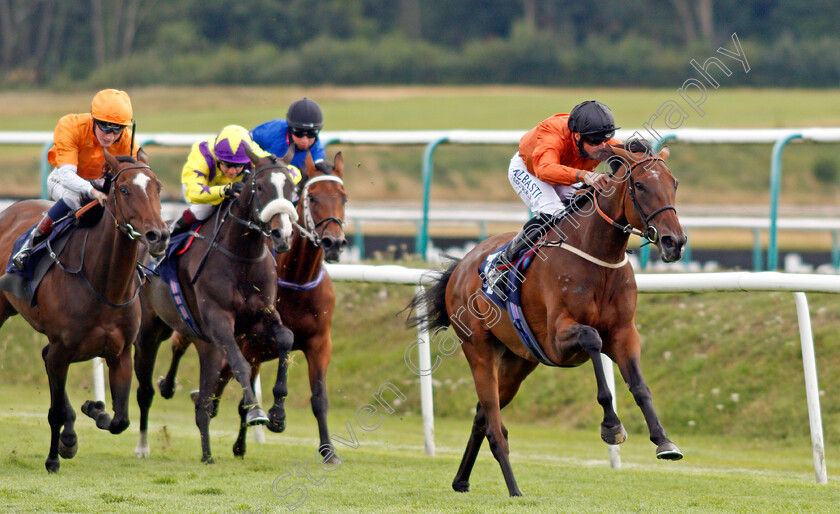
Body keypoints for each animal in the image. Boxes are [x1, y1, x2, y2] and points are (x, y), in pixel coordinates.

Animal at [0, 150, 168, 470]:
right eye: (124, 189)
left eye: (158, 187)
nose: (159, 235)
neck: (104, 284)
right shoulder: (62, 349)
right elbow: (54, 410)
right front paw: (53, 458)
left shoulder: (120, 353)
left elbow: (120, 420)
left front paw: (94, 409)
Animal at [132, 146, 298, 462]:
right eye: (260, 187)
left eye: (292, 189)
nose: (282, 234)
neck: (242, 256)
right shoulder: (219, 321)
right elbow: (240, 364)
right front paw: (256, 412)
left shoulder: (259, 318)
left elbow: (285, 338)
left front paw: (279, 413)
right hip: (149, 329)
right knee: (145, 390)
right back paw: (143, 445)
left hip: (195, 336)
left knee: (197, 390)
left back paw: (205, 451)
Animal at [159, 150, 346, 458]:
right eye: (312, 197)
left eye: (344, 197)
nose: (335, 242)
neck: (297, 282)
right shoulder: (249, 342)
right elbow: (238, 374)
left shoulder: (319, 343)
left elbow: (318, 396)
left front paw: (327, 450)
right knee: (180, 344)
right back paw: (169, 385)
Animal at [410, 140, 684, 492]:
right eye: (640, 185)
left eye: (673, 184)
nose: (674, 242)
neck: (597, 256)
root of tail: (461, 266)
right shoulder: (557, 339)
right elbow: (592, 340)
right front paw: (611, 425)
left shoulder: (624, 333)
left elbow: (639, 386)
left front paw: (664, 441)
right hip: (479, 349)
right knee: (493, 423)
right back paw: (513, 489)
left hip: (518, 362)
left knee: (482, 415)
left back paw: (461, 480)